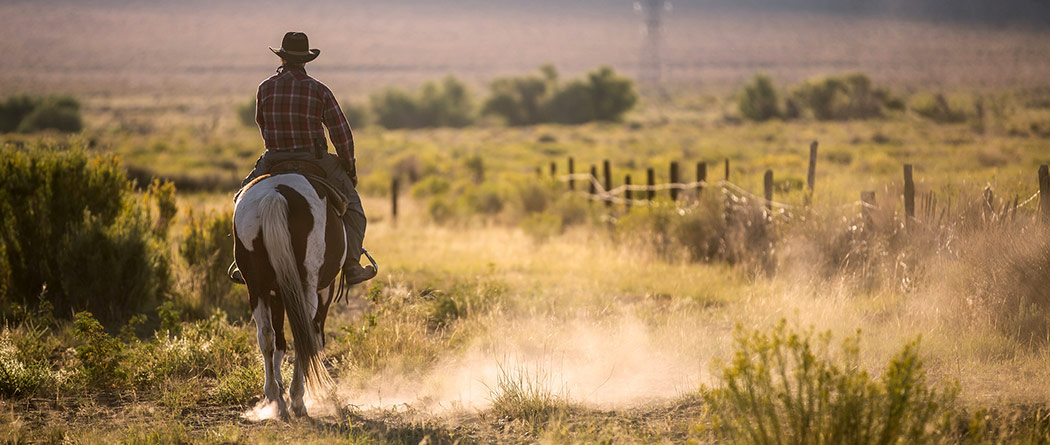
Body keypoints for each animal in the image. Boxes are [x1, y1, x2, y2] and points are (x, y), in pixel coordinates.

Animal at [233, 172, 348, 419]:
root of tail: (274, 195)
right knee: (303, 335)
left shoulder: (277, 292)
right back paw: (297, 400)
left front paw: (278, 388)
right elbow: (313, 338)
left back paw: (274, 397)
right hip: (307, 286)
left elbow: (279, 340)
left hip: (255, 286)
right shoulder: (324, 290)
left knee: (266, 335)